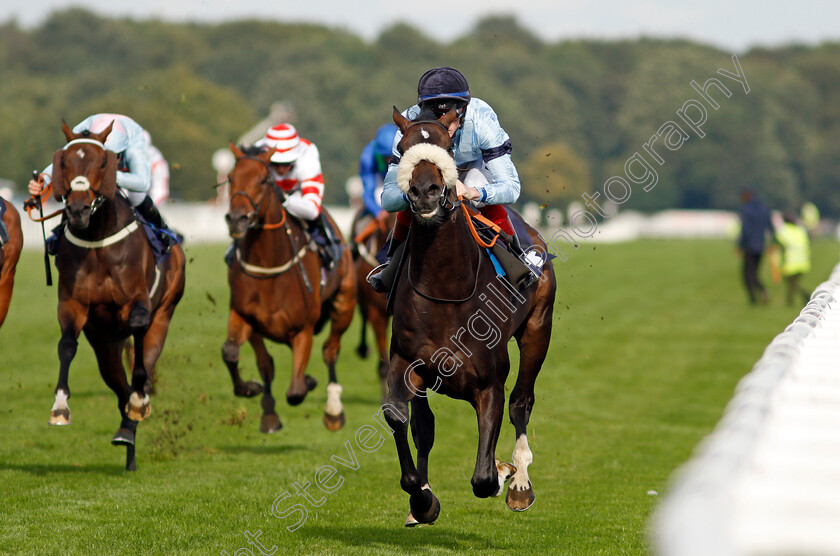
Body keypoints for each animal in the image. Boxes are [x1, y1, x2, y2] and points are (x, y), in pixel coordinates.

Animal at [45, 120, 186, 470]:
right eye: (64, 163)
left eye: (102, 164)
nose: (78, 209)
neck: (98, 239)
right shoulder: (73, 305)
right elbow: (66, 346)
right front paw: (60, 407)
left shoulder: (138, 302)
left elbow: (138, 336)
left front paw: (140, 400)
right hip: (104, 344)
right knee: (119, 386)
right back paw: (127, 439)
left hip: (164, 314)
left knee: (142, 367)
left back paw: (136, 410)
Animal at [223, 143, 354, 434]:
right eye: (230, 178)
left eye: (264, 180)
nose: (237, 219)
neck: (270, 265)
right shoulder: (244, 315)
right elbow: (236, 355)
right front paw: (254, 394)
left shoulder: (303, 328)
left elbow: (295, 391)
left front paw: (309, 382)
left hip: (344, 305)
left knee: (331, 350)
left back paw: (334, 410)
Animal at [382, 107, 556, 524]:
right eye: (403, 148)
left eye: (447, 147)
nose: (425, 191)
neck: (447, 289)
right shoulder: (407, 360)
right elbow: (401, 417)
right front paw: (421, 500)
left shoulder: (489, 382)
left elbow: (483, 476)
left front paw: (502, 474)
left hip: (538, 329)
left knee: (522, 402)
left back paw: (520, 483)